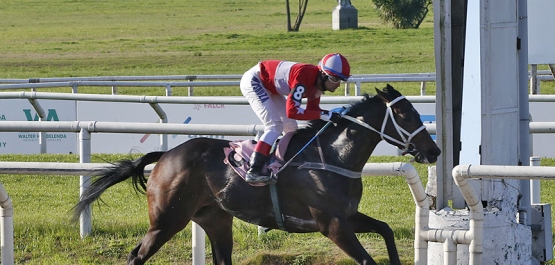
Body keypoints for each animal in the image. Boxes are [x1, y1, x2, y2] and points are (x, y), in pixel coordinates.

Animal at [74, 84, 440, 264]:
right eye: (405, 114)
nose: (435, 151)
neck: (333, 156)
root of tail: (165, 156)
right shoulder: (332, 225)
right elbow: (367, 260)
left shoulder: (347, 216)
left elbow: (386, 230)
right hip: (167, 220)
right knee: (137, 255)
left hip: (215, 219)